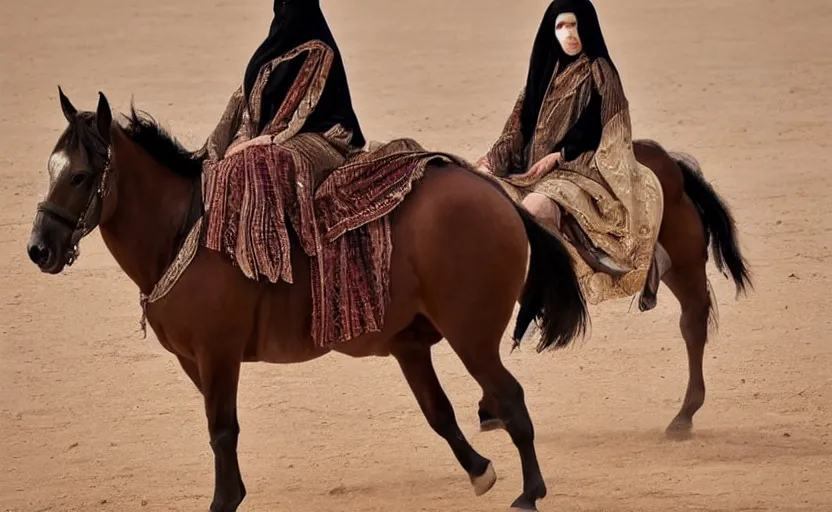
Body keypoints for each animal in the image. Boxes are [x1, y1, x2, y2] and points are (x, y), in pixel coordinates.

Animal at [24, 89, 584, 512]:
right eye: (49, 169)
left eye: (79, 176)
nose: (38, 249)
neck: (182, 230)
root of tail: (500, 199)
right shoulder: (194, 360)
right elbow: (218, 428)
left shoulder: (218, 354)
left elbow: (222, 429)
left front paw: (224, 500)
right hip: (415, 345)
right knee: (446, 409)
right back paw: (486, 472)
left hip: (472, 336)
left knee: (510, 397)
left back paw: (530, 493)